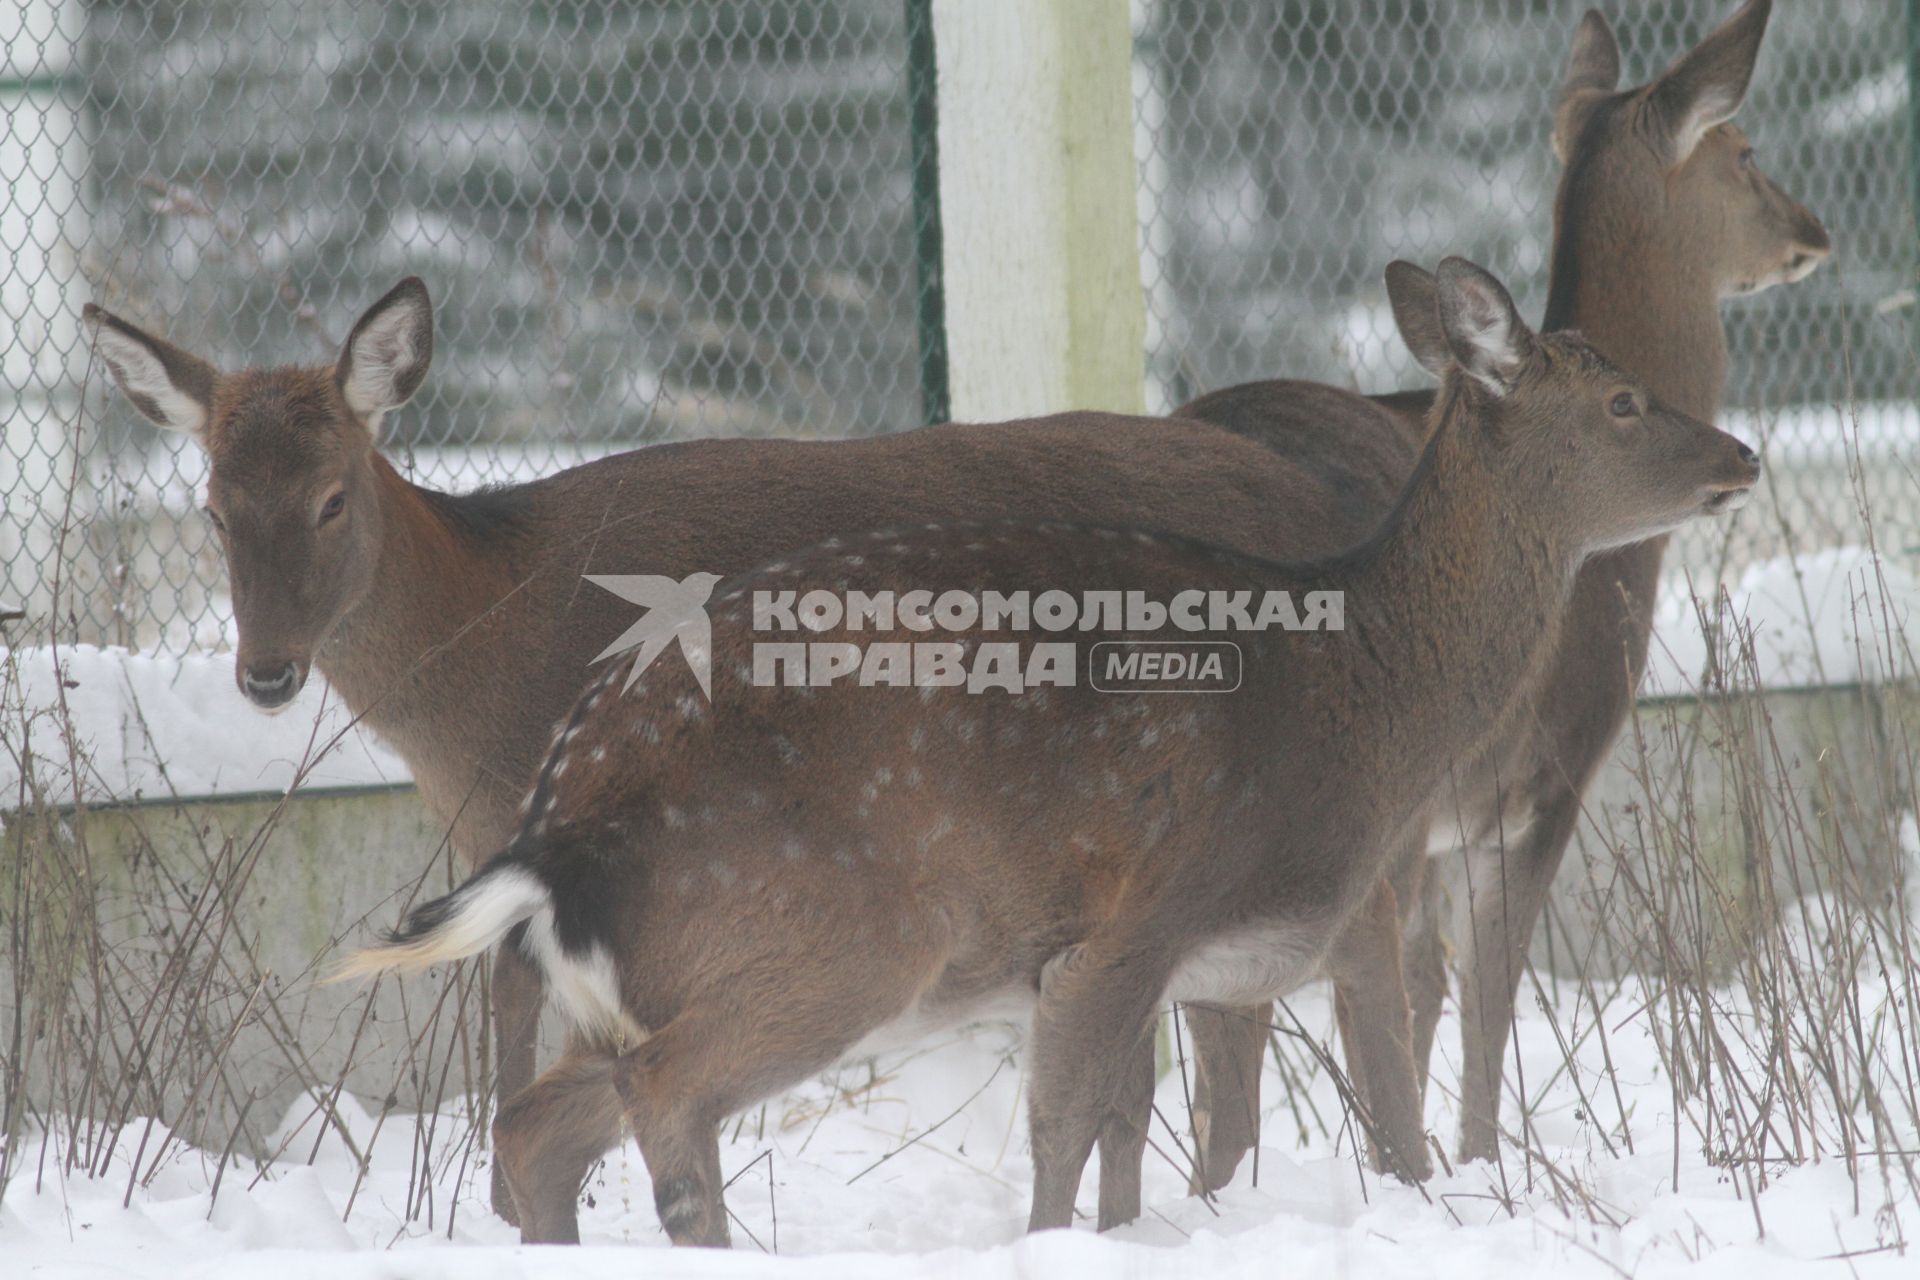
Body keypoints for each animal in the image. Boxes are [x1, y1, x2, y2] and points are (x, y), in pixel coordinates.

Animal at [341, 260, 1758, 1251]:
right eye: (1624, 399)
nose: (1740, 453)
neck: (1361, 697)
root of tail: (561, 816)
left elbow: (1129, 1137)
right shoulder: (1135, 916)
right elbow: (1074, 1134)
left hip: (638, 982)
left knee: (538, 1124)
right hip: (837, 932)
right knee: (665, 1099)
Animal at [1167, 0, 1827, 1182]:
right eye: (1745, 151)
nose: (1813, 231)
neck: (1611, 567)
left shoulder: (1432, 821)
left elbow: (1431, 988)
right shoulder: (1542, 774)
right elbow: (1485, 997)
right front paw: (1482, 1167)